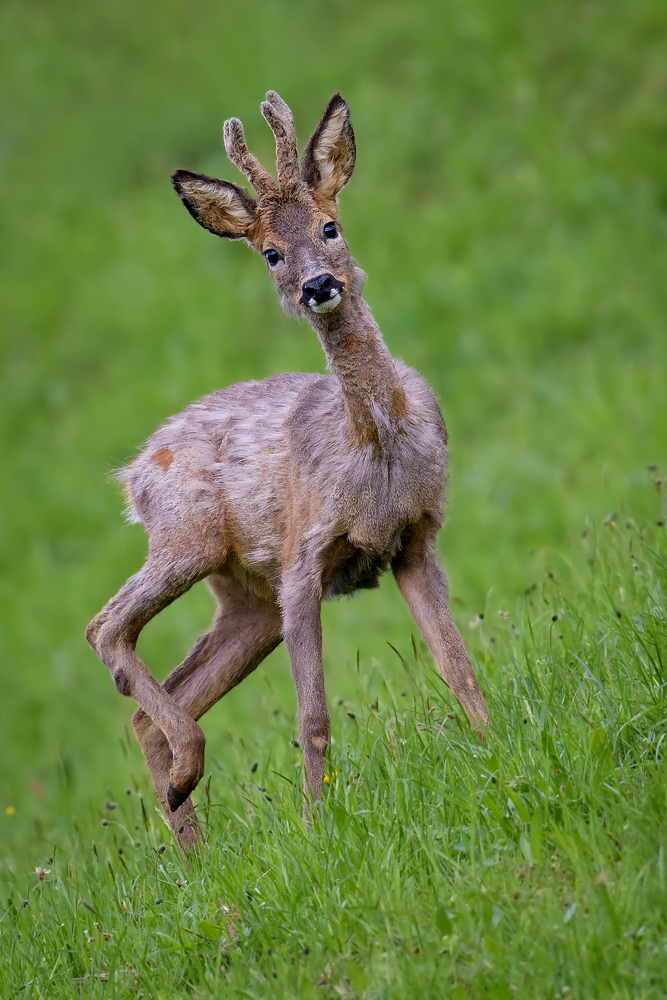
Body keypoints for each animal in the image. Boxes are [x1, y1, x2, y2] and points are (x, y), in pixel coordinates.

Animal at [86, 92, 488, 852]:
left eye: (331, 225)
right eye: (270, 252)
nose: (318, 286)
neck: (376, 447)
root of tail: (131, 474)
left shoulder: (417, 537)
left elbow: (456, 663)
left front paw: (496, 747)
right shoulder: (303, 559)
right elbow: (313, 715)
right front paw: (318, 829)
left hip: (246, 600)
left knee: (156, 703)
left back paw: (192, 847)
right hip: (188, 540)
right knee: (105, 628)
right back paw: (188, 789)